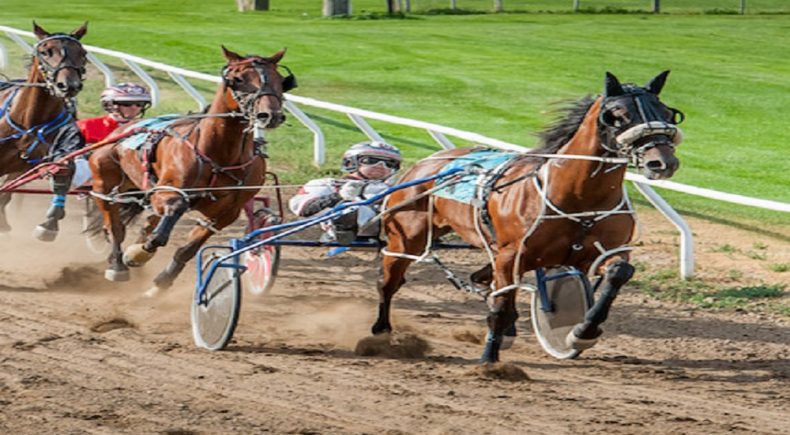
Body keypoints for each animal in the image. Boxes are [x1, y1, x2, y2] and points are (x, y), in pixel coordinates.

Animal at [0, 23, 88, 235]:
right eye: (46, 52)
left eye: (82, 53)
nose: (69, 85)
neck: (30, 122)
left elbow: (64, 170)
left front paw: (49, 222)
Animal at [89, 45, 294, 296]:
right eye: (237, 80)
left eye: (281, 80)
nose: (270, 115)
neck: (220, 156)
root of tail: (123, 129)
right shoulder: (165, 191)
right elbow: (170, 217)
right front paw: (139, 253)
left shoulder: (225, 213)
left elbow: (187, 249)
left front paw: (160, 283)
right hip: (104, 182)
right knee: (114, 226)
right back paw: (118, 264)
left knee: (147, 222)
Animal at [378, 72, 688, 364]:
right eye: (618, 115)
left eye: (666, 113)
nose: (662, 162)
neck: (579, 198)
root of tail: (425, 163)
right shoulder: (511, 255)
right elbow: (501, 305)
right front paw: (489, 359)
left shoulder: (599, 253)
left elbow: (618, 273)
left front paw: (581, 332)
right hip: (406, 238)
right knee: (389, 282)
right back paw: (381, 331)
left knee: (481, 278)